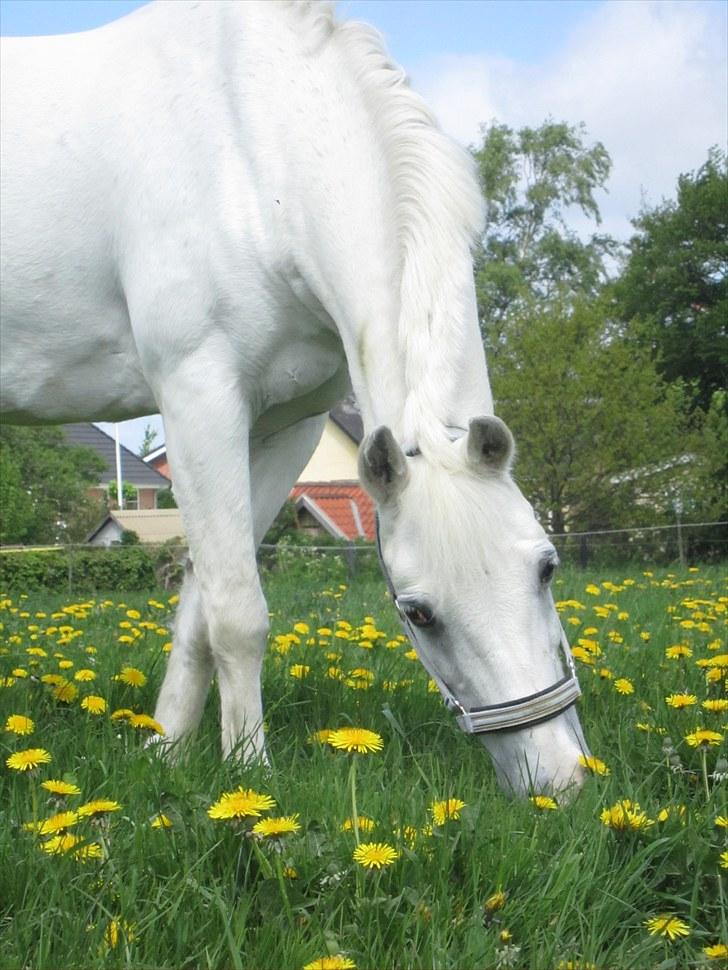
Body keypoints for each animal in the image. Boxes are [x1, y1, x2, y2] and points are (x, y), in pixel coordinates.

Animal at [0, 0, 589, 797]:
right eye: (419, 613)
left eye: (546, 567)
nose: (559, 781)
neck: (248, 148)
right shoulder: (199, 398)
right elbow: (236, 612)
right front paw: (247, 773)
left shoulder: (285, 427)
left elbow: (201, 609)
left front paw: (168, 750)